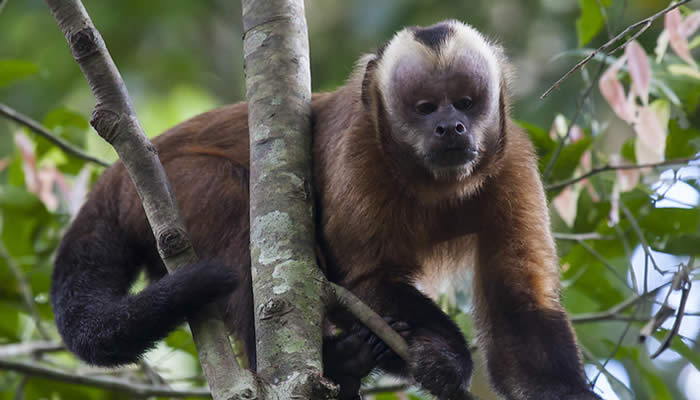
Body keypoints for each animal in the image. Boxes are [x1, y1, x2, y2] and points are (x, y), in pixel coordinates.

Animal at [51, 20, 601, 400]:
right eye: (425, 108)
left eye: (465, 102)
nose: (451, 127)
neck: (431, 185)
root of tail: (113, 180)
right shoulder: (358, 150)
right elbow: (358, 280)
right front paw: (447, 355)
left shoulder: (512, 162)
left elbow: (518, 301)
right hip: (169, 184)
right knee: (240, 228)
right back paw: (337, 361)